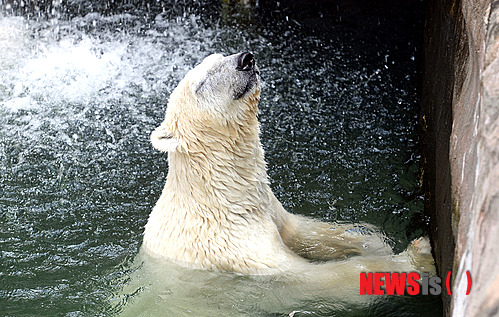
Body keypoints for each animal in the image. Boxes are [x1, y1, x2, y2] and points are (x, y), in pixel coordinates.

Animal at [142, 51, 434, 282]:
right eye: (201, 83)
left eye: (221, 55)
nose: (245, 59)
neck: (221, 198)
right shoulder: (236, 250)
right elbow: (319, 276)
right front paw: (416, 256)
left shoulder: (268, 208)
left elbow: (303, 230)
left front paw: (373, 240)